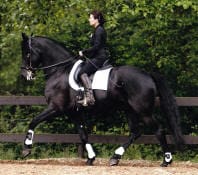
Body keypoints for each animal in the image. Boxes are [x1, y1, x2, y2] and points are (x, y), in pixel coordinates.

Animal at [20, 33, 184, 167]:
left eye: (27, 53)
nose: (24, 75)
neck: (59, 70)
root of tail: (148, 75)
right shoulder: (74, 112)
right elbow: (83, 134)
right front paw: (91, 158)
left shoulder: (56, 107)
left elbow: (33, 121)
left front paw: (26, 148)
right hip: (129, 109)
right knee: (135, 132)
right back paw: (115, 158)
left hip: (143, 111)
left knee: (158, 130)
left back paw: (166, 160)